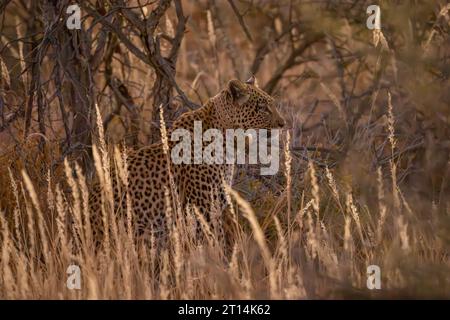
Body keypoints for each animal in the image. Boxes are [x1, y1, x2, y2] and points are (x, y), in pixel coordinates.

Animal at [88, 77, 284, 250]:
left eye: (273, 105)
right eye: (263, 109)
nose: (283, 123)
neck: (229, 139)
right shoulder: (205, 208)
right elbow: (216, 243)